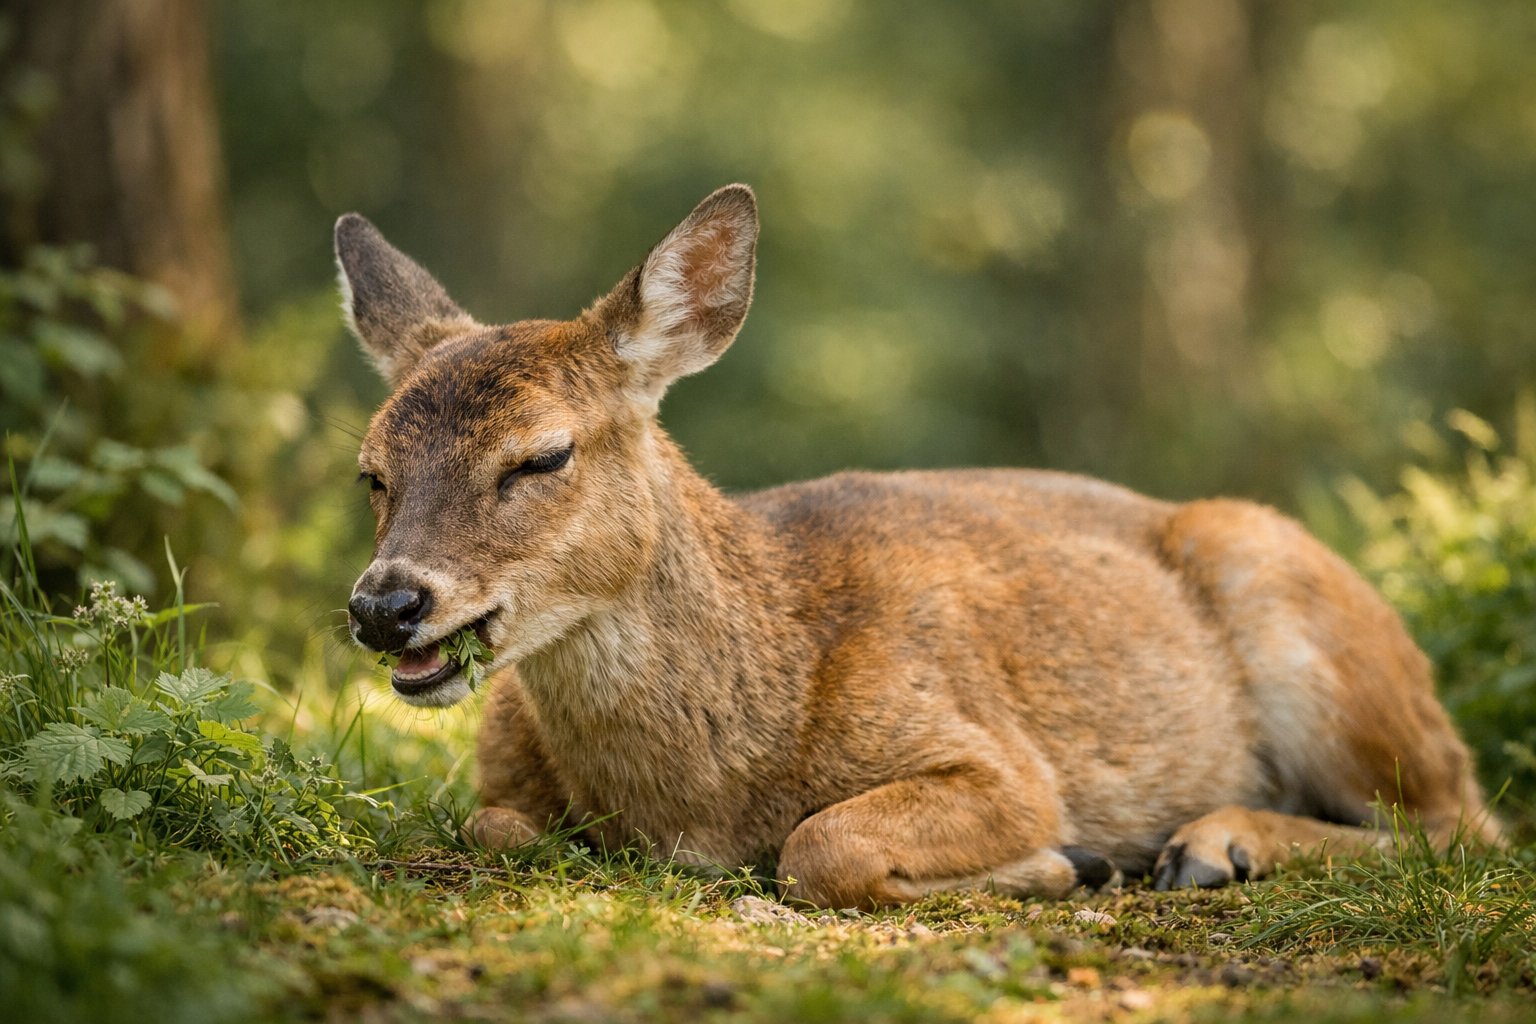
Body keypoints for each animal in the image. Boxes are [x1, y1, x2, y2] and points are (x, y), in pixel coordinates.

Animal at [336, 184, 1500, 909]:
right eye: (372, 471)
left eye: (542, 457)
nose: (385, 605)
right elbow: (492, 826)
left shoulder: (996, 757)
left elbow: (821, 843)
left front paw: (1070, 862)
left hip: (1307, 613)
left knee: (1466, 818)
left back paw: (1213, 846)